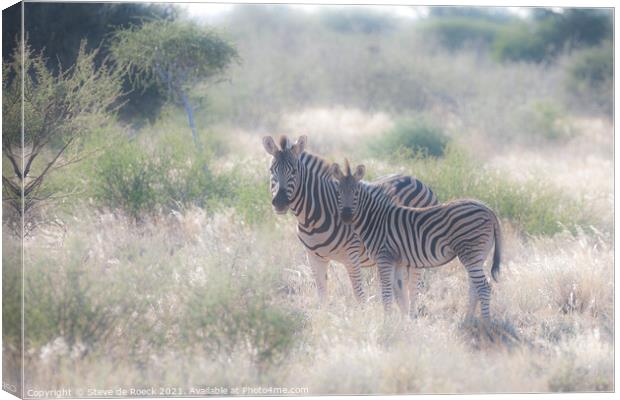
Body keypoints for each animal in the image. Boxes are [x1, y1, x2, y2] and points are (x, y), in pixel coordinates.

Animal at [260, 134, 436, 304]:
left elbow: (359, 296)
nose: (280, 202)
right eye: (271, 170)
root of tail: (420, 182)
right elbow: (322, 297)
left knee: (414, 289)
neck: (311, 218)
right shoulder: (314, 258)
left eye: (294, 171)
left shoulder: (352, 256)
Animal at [332, 159, 502, 324]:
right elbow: (399, 293)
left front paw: (387, 323)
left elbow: (386, 293)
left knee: (484, 288)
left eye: (356, 193)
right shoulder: (397, 260)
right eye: (338, 192)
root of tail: (488, 209)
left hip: (470, 252)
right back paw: (468, 321)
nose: (346, 216)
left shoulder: (384, 257)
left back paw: (486, 324)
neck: (375, 219)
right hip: (478, 255)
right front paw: (403, 322)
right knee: (474, 288)